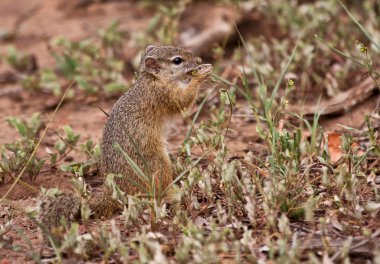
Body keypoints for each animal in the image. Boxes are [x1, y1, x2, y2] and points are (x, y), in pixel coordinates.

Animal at [39, 44, 214, 229]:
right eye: (177, 60)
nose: (198, 61)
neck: (151, 80)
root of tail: (115, 192)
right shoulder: (162, 95)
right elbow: (183, 100)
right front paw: (201, 74)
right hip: (157, 164)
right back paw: (174, 193)